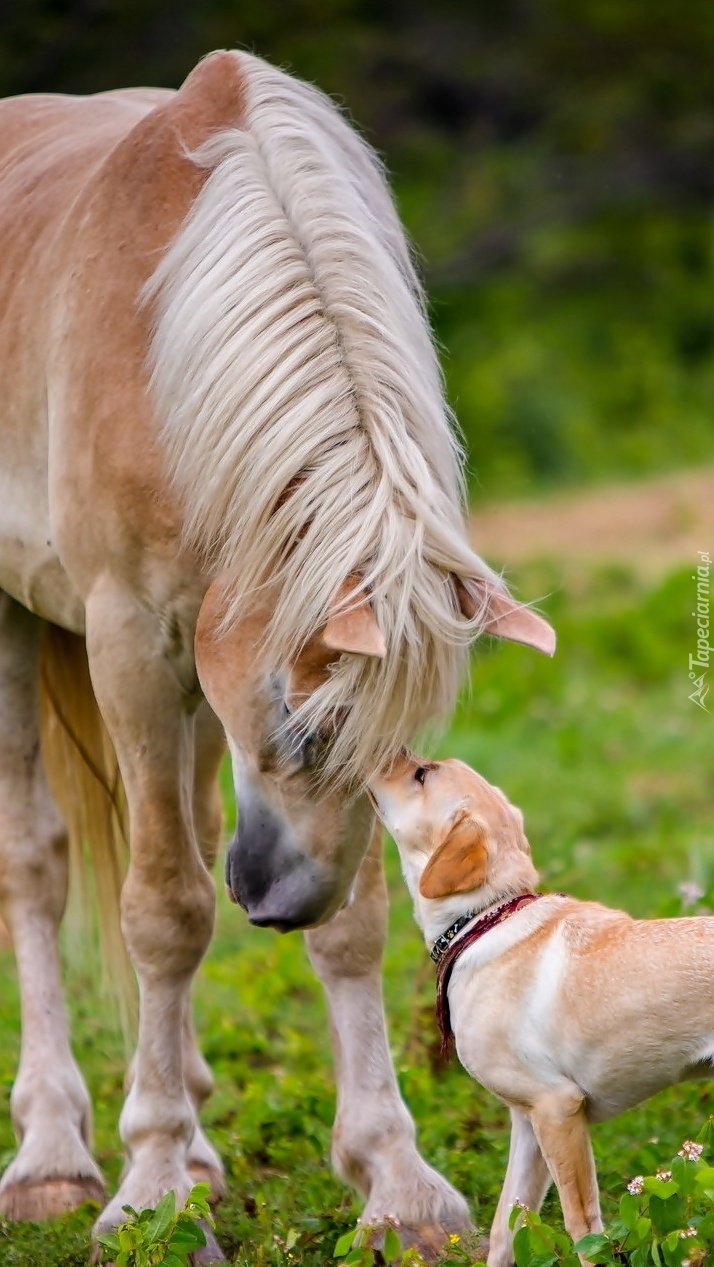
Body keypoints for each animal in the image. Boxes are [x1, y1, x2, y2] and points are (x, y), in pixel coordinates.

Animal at [0, 49, 554, 1256]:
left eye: (406, 748)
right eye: (302, 724)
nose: (278, 901)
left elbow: (358, 924)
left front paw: (395, 1182)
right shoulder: (129, 644)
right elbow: (163, 910)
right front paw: (149, 1187)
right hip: (19, 624)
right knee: (38, 863)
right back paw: (55, 1158)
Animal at [367, 755, 714, 1261]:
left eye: (421, 775)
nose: (384, 752)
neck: (484, 918)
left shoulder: (558, 1109)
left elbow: (583, 1227)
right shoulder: (527, 1123)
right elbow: (505, 1228)